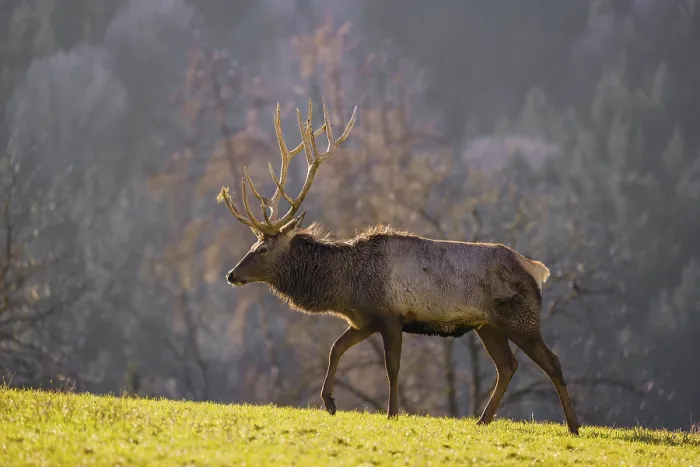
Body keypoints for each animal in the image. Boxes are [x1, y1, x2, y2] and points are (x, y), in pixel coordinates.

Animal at [218, 97, 582, 435]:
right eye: (252, 245)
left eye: (262, 248)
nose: (232, 275)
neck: (345, 287)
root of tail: (536, 269)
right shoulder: (364, 320)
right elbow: (336, 349)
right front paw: (330, 402)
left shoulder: (391, 316)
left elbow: (392, 367)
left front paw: (392, 413)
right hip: (487, 325)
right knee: (507, 366)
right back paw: (483, 420)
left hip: (521, 318)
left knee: (552, 361)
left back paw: (574, 425)